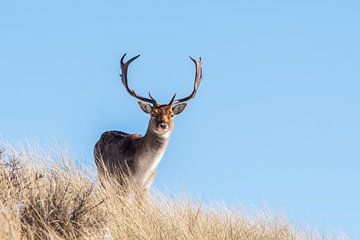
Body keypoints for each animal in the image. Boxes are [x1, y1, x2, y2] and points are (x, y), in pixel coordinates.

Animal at [94, 53, 204, 196]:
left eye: (171, 114)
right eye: (153, 113)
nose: (163, 125)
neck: (142, 172)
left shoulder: (145, 188)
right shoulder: (122, 181)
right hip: (102, 172)